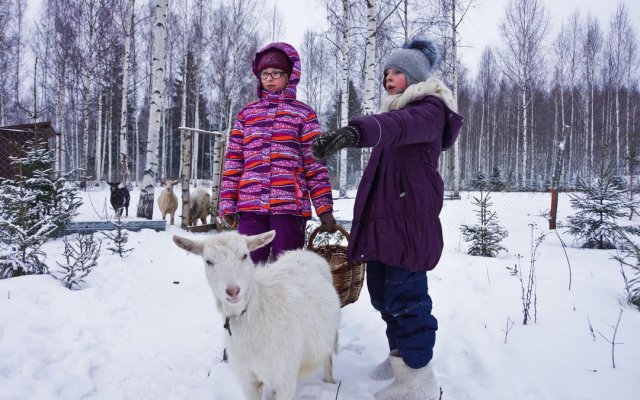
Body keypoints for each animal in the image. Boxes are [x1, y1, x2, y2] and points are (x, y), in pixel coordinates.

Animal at [170, 230, 340, 400]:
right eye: (209, 261)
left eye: (245, 255)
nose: (233, 291)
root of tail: (304, 252)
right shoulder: (248, 378)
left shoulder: (286, 377)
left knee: (328, 361)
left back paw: (330, 383)